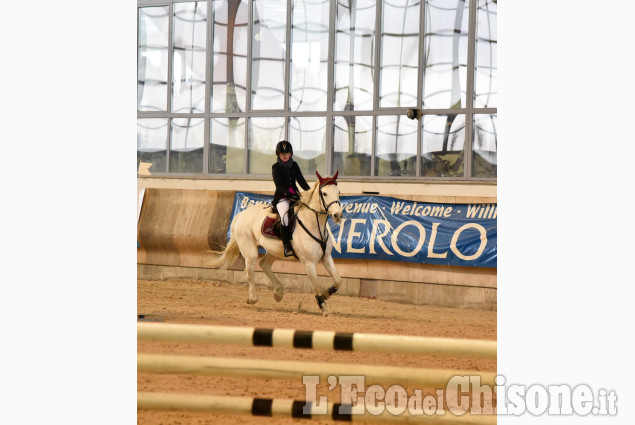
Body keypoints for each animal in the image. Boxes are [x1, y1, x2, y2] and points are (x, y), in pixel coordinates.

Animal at [210, 171, 342, 314]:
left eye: (338, 192)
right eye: (325, 193)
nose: (338, 215)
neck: (314, 225)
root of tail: (241, 214)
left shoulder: (326, 257)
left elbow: (338, 280)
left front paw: (327, 293)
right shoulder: (309, 262)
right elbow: (316, 284)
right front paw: (324, 307)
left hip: (274, 250)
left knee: (264, 265)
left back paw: (278, 293)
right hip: (250, 251)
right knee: (249, 272)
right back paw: (253, 298)